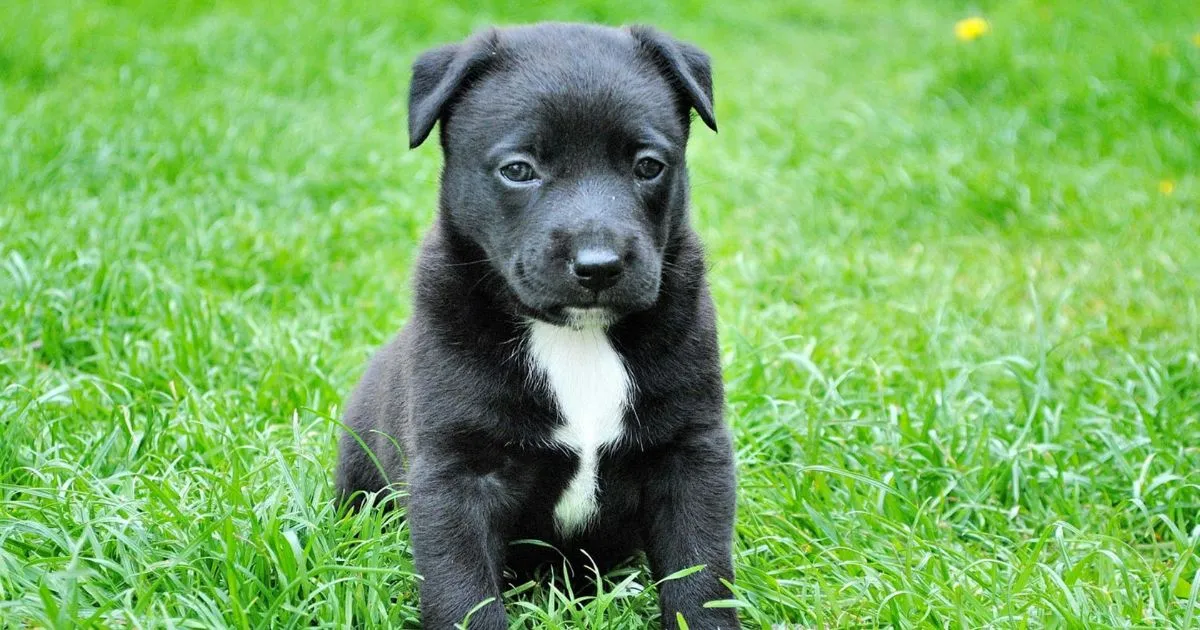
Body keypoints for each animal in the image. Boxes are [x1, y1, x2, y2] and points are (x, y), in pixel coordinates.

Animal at [333, 22, 734, 624]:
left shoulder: (690, 452)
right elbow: (462, 589)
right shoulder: (457, 472)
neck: (576, 337)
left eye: (648, 166)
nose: (599, 265)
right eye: (518, 170)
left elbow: (701, 574)